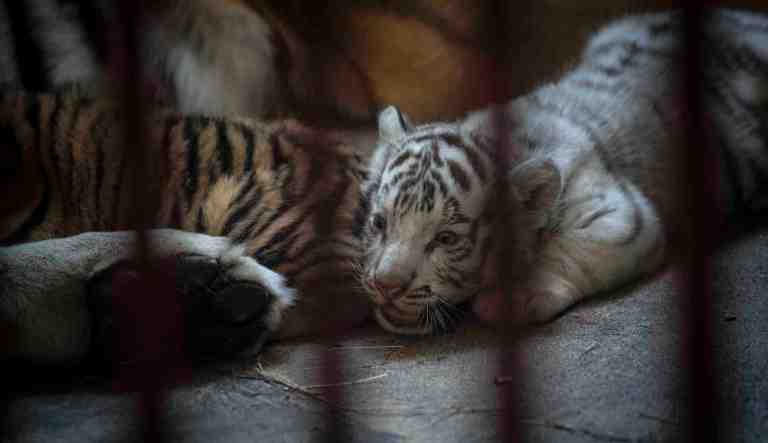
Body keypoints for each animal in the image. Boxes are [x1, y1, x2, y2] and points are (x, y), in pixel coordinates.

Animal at [358, 8, 768, 334]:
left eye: (446, 239)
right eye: (379, 223)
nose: (386, 285)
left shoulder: (624, 213)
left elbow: (571, 248)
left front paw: (515, 296)